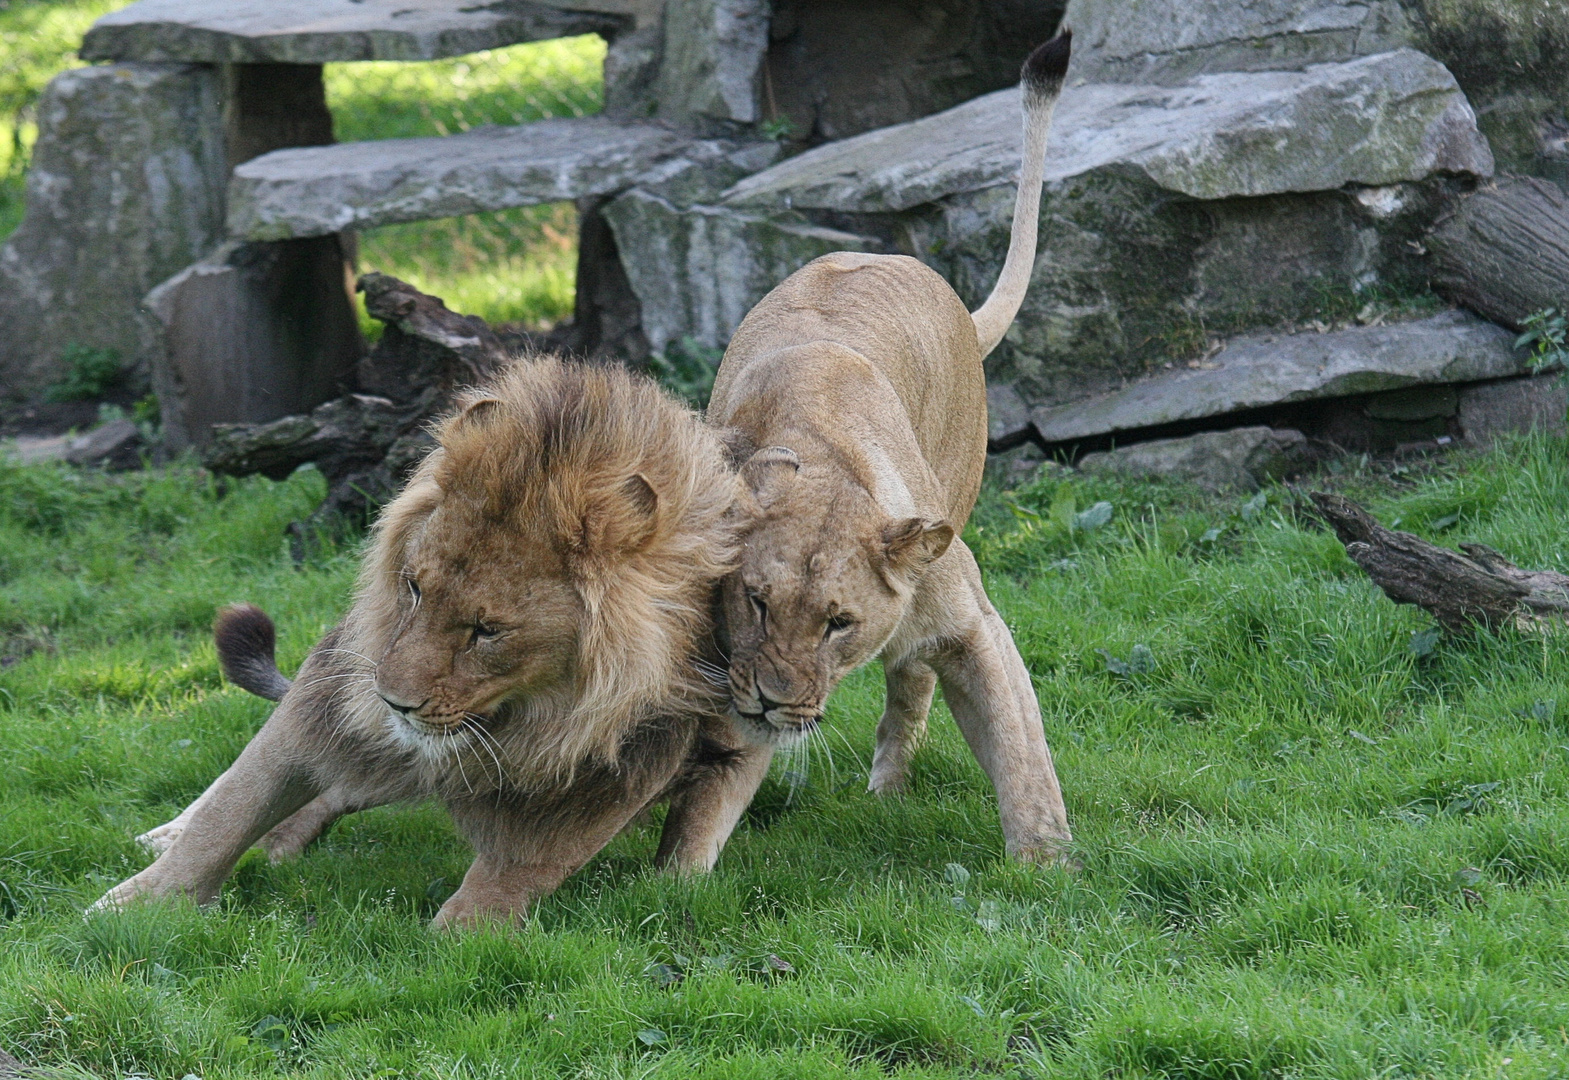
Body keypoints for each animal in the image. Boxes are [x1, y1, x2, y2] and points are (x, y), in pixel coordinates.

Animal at [91, 357, 765, 923]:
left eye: (487, 631)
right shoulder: (333, 695)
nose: (395, 702)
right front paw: (130, 909)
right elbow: (233, 806)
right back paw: (177, 835)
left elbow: (519, 868)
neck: (526, 716)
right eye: (414, 588)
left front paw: (458, 938)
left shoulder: (622, 767)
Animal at [706, 31, 1073, 860]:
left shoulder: (971, 622)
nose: (771, 703)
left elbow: (1018, 749)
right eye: (755, 602)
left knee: (911, 682)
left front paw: (1045, 868)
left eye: (838, 623)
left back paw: (888, 791)